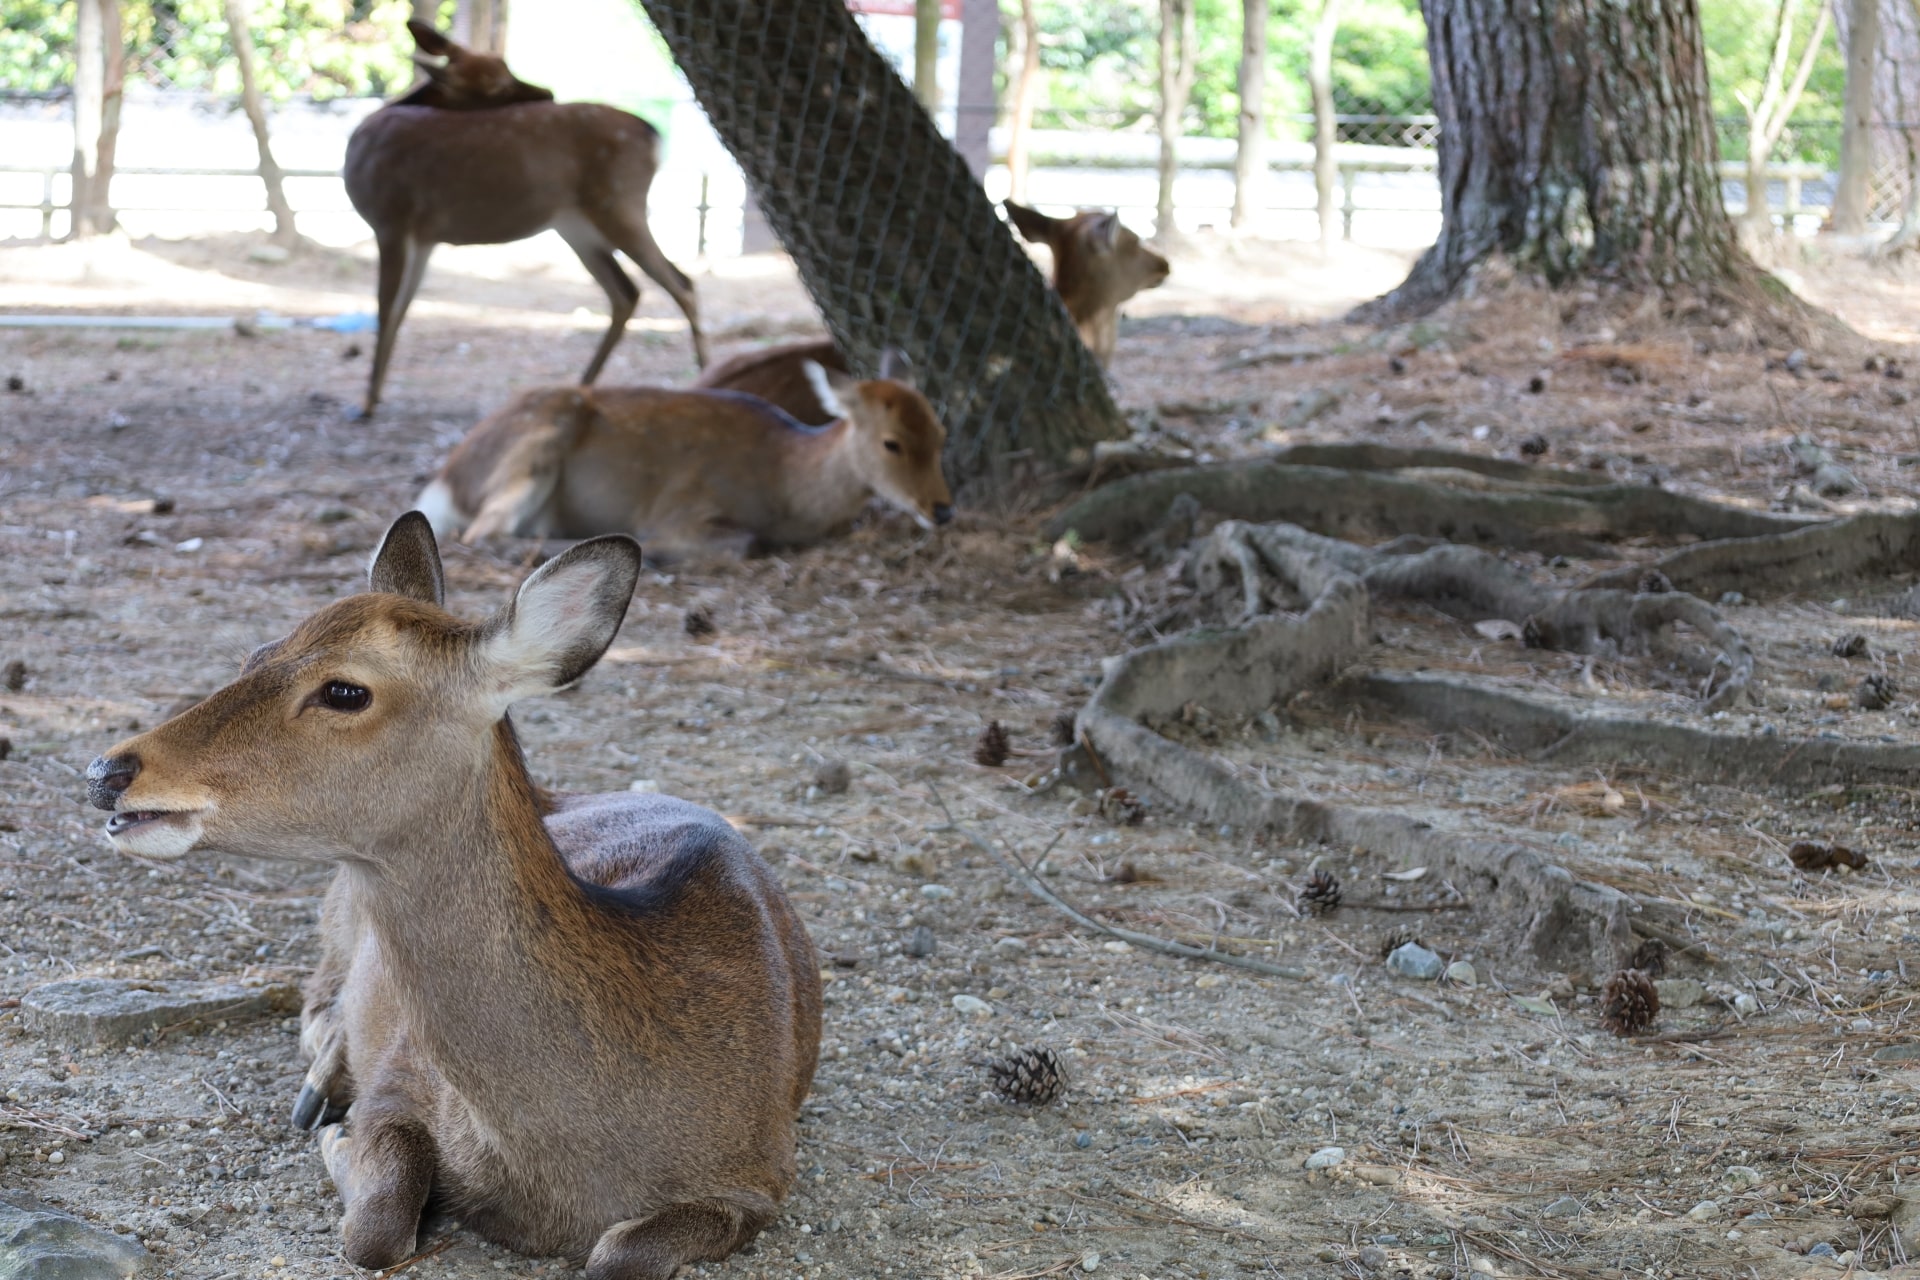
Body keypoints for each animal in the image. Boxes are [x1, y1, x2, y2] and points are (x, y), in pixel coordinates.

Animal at [82, 514, 821, 1280]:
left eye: (345, 691)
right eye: (256, 654)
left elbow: (620, 1255)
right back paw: (320, 1087)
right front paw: (337, 1140)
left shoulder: (763, 1173)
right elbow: (375, 1228)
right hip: (339, 914)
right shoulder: (402, 1078)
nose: (107, 771)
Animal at [345, 20, 706, 416]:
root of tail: (653, 136)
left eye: (505, 69)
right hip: (577, 225)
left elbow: (384, 308)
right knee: (628, 291)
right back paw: (582, 384)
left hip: (620, 204)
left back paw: (704, 373)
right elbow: (401, 309)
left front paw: (366, 403)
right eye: (498, 83)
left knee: (681, 283)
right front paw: (376, 395)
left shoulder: (390, 219)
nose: (547, 93)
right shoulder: (423, 237)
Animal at [414, 351, 952, 556]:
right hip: (534, 451)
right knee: (484, 532)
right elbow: (746, 540)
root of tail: (447, 480)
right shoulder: (684, 503)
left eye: (941, 431)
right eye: (891, 442)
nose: (942, 509)